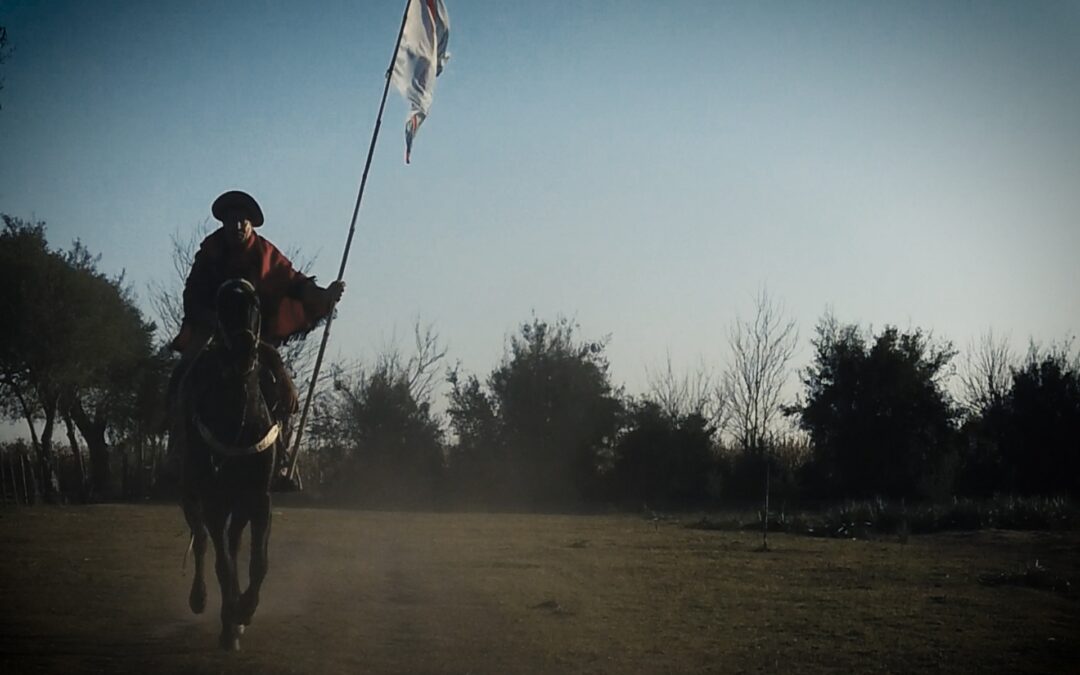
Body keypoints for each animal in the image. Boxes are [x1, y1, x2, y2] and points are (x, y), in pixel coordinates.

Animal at [179, 278, 293, 648]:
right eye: (223, 305)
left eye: (255, 303)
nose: (245, 349)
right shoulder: (213, 501)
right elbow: (222, 563)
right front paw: (231, 618)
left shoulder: (259, 499)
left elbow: (259, 562)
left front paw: (245, 610)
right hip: (190, 495)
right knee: (203, 542)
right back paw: (201, 600)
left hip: (239, 504)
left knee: (232, 542)